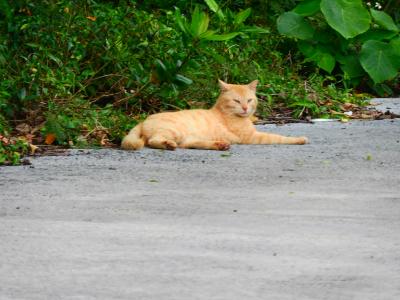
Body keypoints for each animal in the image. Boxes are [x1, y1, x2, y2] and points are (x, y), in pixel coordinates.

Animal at [122, 79, 310, 150]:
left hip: (187, 136)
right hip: (174, 131)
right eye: (236, 101)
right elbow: (279, 137)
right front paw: (300, 139)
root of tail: (144, 119)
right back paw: (168, 145)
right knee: (154, 141)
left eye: (249, 100)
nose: (245, 108)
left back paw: (220, 145)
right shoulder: (252, 137)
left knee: (188, 144)